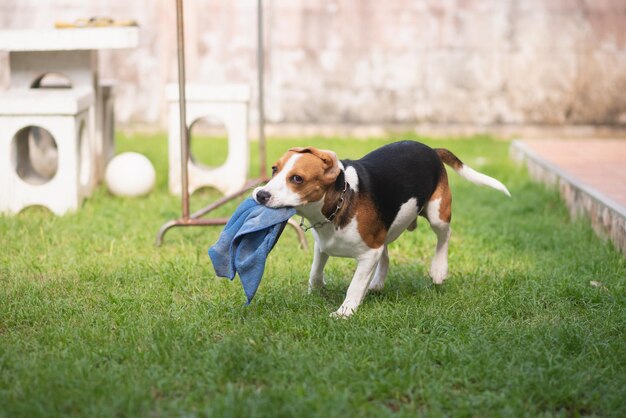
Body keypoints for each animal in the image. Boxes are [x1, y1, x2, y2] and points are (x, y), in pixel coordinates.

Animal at [251, 140, 510, 316]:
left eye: (297, 179)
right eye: (274, 169)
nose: (261, 194)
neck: (339, 203)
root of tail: (431, 149)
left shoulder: (368, 253)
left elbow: (354, 286)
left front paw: (344, 312)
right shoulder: (322, 246)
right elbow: (315, 272)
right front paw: (314, 292)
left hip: (438, 214)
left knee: (444, 237)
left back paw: (438, 269)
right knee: (386, 255)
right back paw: (377, 283)